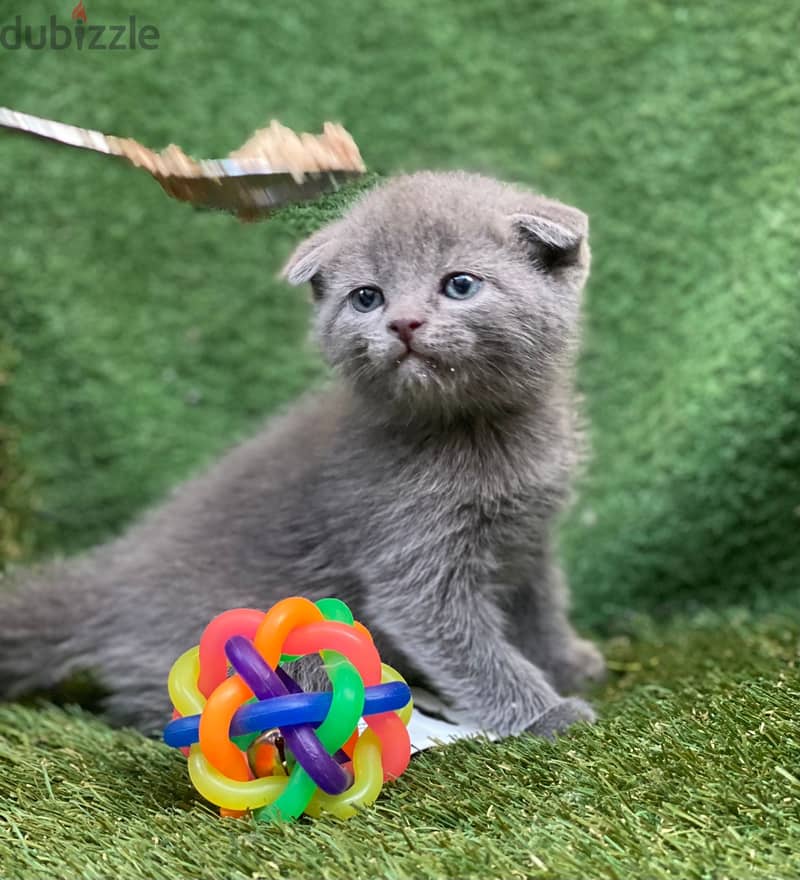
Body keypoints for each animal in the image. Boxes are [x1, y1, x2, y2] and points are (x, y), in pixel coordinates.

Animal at [0, 170, 604, 736]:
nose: (403, 322)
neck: (479, 430)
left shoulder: (527, 536)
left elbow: (539, 606)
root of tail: (110, 580)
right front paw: (546, 712)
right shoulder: (410, 551)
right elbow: (469, 646)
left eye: (459, 284)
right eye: (367, 297)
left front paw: (566, 662)